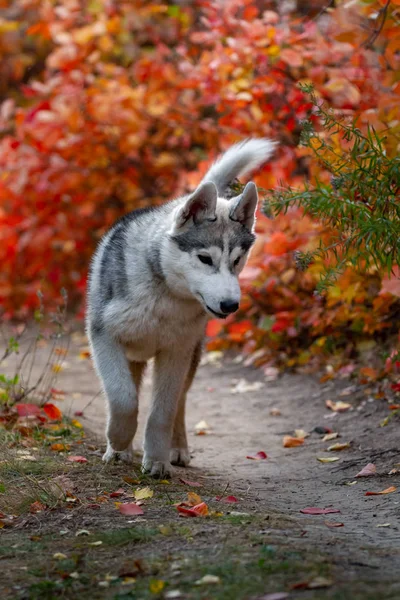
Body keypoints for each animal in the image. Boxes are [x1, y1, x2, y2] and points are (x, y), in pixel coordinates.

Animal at [86, 138, 276, 476]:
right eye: (205, 258)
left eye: (237, 260)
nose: (230, 305)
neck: (164, 297)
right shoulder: (104, 338)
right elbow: (123, 399)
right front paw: (118, 440)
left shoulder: (176, 352)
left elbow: (162, 412)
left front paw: (157, 460)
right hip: (133, 355)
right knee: (132, 390)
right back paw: (121, 450)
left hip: (191, 356)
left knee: (180, 401)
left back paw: (176, 449)